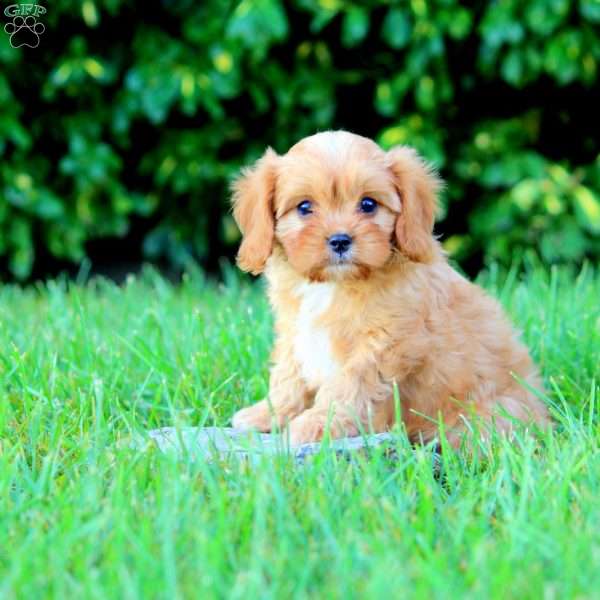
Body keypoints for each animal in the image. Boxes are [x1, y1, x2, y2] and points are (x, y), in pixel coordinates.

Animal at [229, 132, 548, 450]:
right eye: (304, 207)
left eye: (368, 204)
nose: (340, 240)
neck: (334, 284)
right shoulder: (296, 331)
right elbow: (288, 376)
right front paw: (267, 414)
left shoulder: (382, 346)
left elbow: (348, 387)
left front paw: (316, 425)